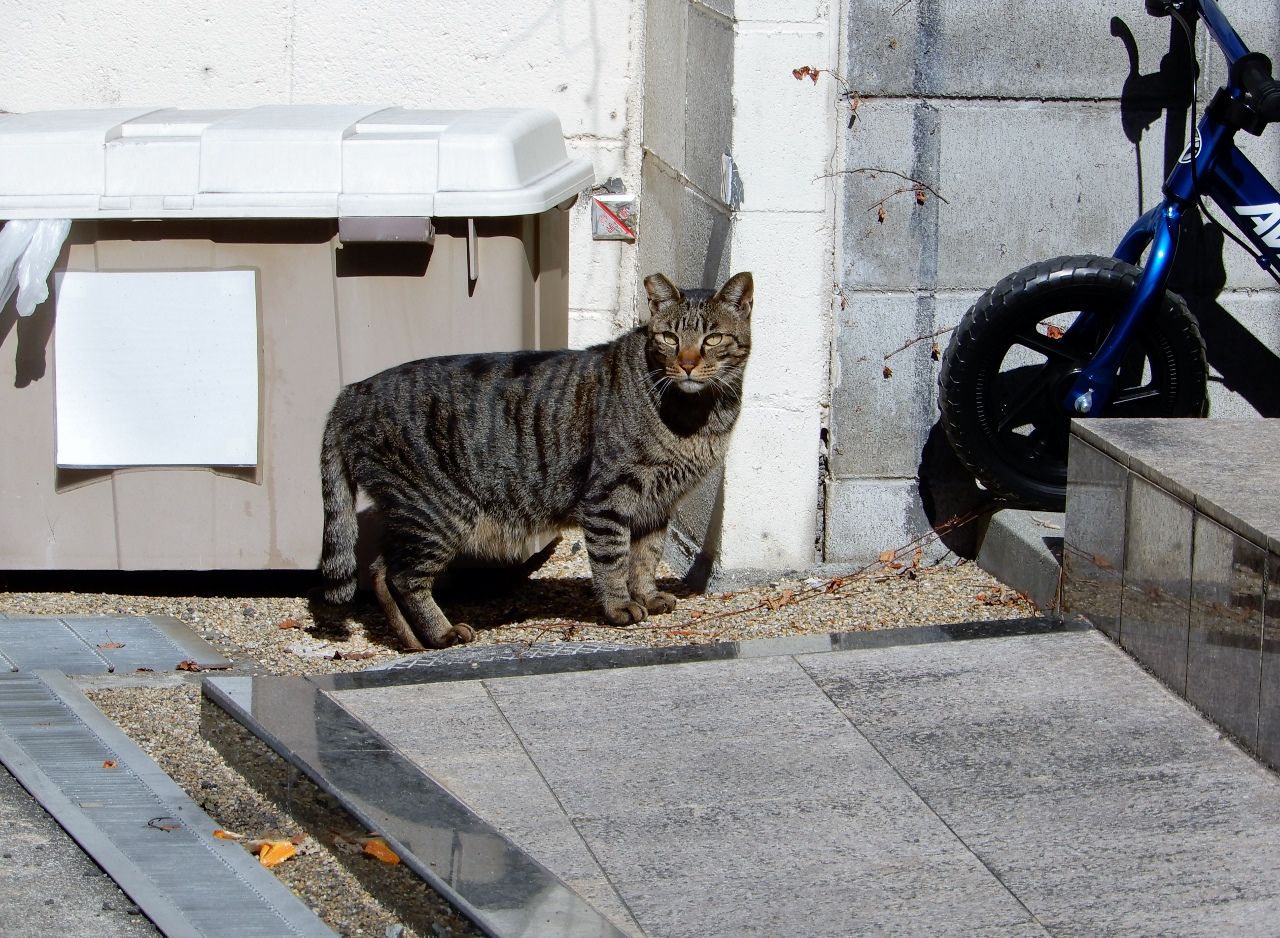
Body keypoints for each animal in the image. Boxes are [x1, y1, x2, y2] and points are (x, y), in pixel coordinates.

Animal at [320, 271, 752, 647]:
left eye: (712, 338)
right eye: (668, 337)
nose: (688, 363)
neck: (698, 418)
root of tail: (351, 391)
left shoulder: (657, 504)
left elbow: (646, 557)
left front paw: (647, 595)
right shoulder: (607, 498)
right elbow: (613, 559)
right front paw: (620, 607)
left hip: (411, 517)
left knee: (380, 571)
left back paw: (412, 642)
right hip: (436, 512)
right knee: (405, 578)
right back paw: (441, 633)